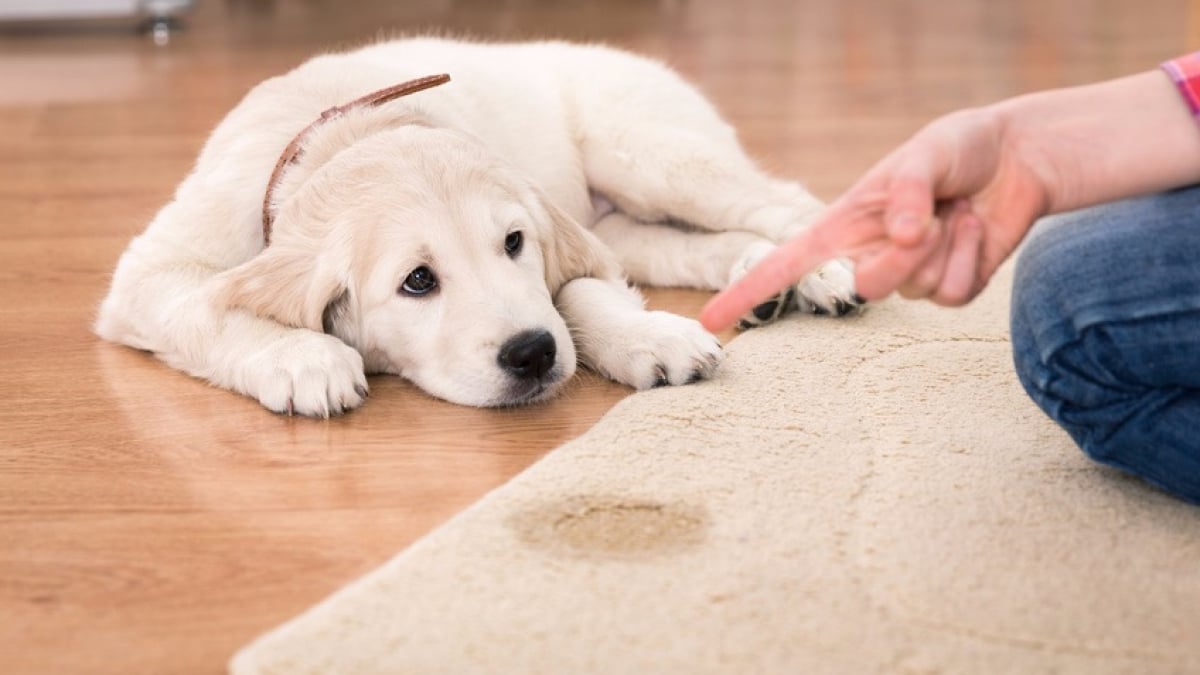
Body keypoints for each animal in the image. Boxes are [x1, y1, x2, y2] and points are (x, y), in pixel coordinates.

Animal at [96, 39, 864, 415]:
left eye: (513, 243)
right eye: (417, 281)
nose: (532, 354)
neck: (344, 132)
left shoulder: (562, 239)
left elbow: (578, 293)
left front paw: (648, 337)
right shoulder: (150, 273)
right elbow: (208, 308)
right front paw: (302, 358)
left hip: (647, 152)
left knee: (782, 200)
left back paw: (823, 272)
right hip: (626, 217)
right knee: (693, 243)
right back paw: (759, 279)